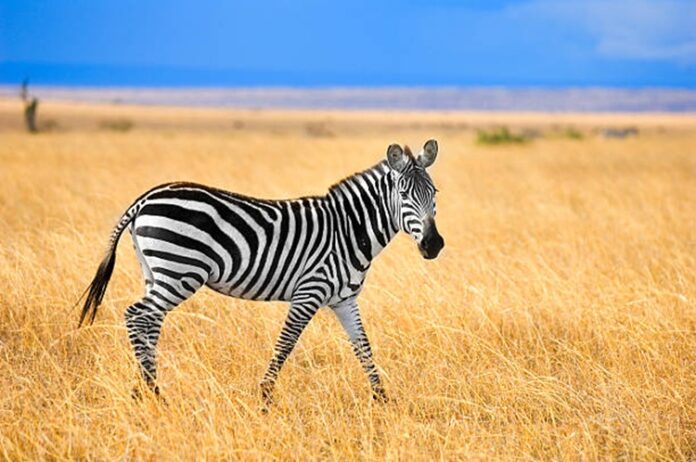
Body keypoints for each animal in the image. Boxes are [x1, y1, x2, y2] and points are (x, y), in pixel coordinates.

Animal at [78, 139, 444, 406]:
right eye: (403, 194)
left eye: (434, 193)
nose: (434, 245)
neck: (349, 230)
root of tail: (145, 198)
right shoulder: (309, 292)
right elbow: (286, 343)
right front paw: (265, 398)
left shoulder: (345, 300)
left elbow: (364, 347)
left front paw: (382, 399)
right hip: (178, 272)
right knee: (137, 316)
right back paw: (152, 392)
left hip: (155, 272)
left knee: (149, 322)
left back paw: (144, 392)